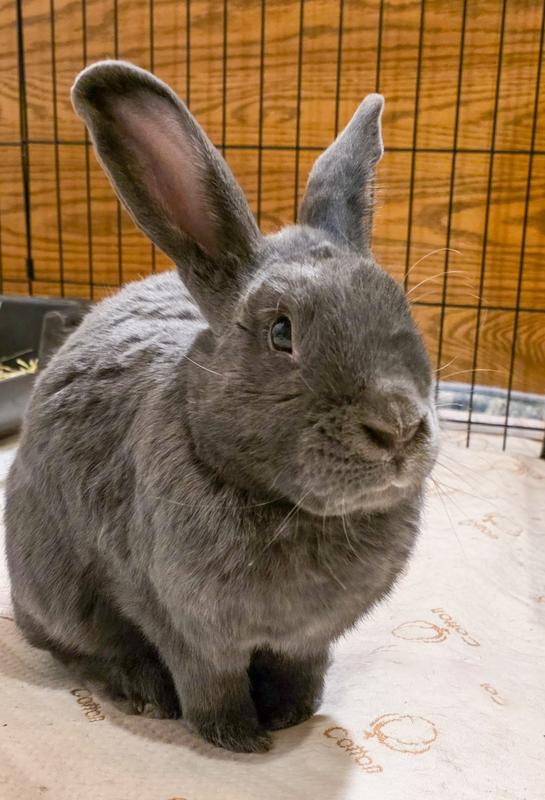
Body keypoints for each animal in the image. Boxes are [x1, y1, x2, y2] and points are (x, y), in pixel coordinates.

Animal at [5, 60, 439, 753]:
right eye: (281, 332)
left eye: (400, 306)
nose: (397, 427)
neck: (287, 507)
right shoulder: (185, 626)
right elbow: (210, 681)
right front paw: (238, 738)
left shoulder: (308, 641)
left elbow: (300, 671)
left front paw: (294, 716)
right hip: (55, 592)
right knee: (79, 648)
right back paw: (143, 693)